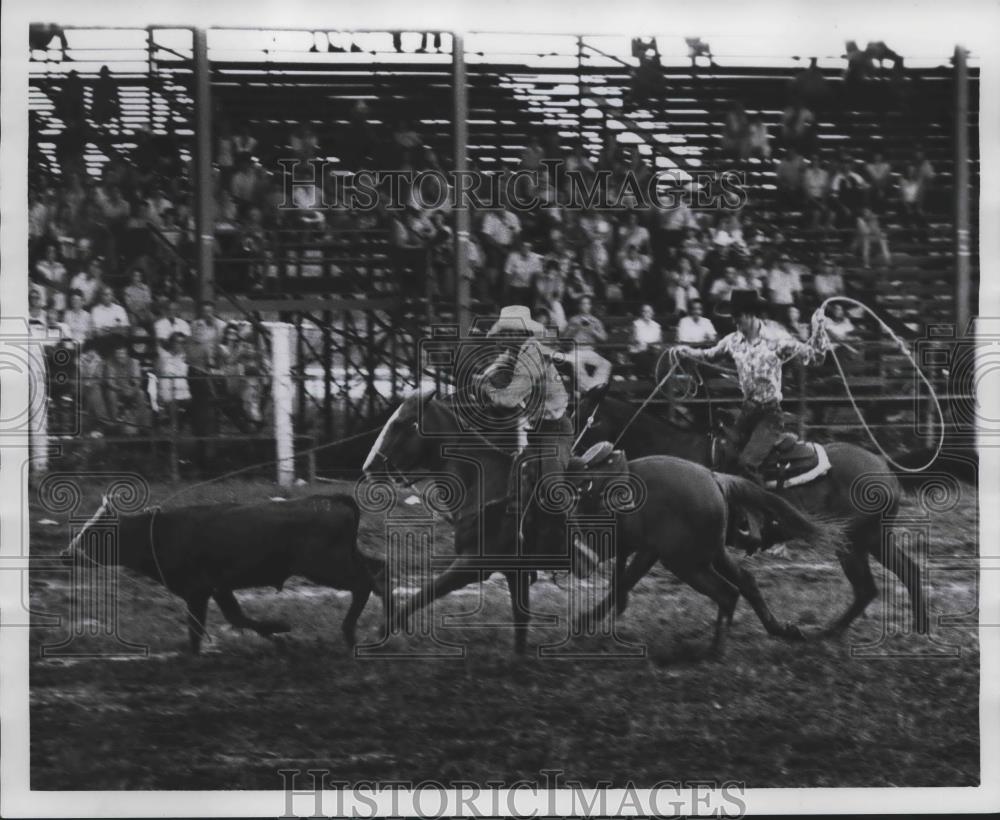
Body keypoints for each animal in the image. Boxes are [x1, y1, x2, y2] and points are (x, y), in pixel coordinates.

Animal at [360, 390, 836, 652]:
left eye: (401, 423)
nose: (367, 468)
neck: (489, 479)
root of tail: (713, 475)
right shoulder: (514, 570)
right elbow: (520, 617)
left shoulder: (474, 565)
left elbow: (423, 594)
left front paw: (383, 630)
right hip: (706, 552)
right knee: (744, 584)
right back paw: (782, 629)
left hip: (686, 560)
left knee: (727, 593)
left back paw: (715, 650)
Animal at [572, 390, 936, 636]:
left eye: (583, 417)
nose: (572, 456)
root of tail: (885, 467)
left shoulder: (663, 546)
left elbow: (628, 577)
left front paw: (590, 618)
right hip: (873, 538)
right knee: (903, 572)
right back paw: (916, 625)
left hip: (854, 541)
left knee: (867, 587)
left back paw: (827, 633)